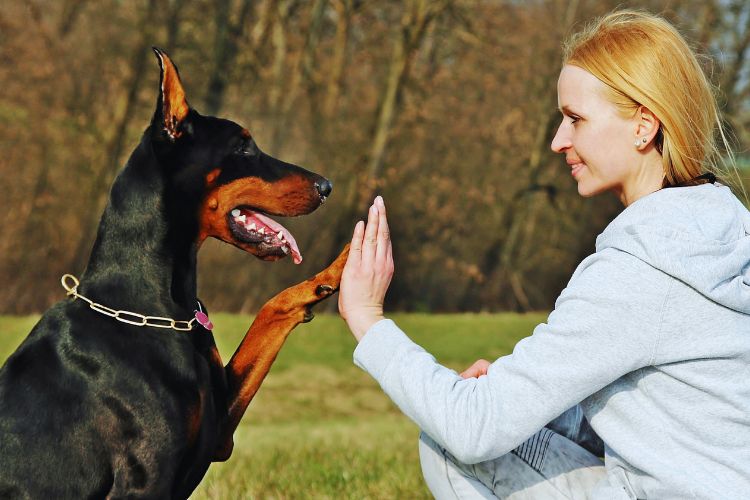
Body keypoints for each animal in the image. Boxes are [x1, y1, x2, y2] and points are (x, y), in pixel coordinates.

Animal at [0, 47, 350, 500]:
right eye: (243, 146)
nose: (326, 186)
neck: (159, 308)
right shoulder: (144, 480)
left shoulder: (218, 431)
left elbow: (271, 311)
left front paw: (342, 266)